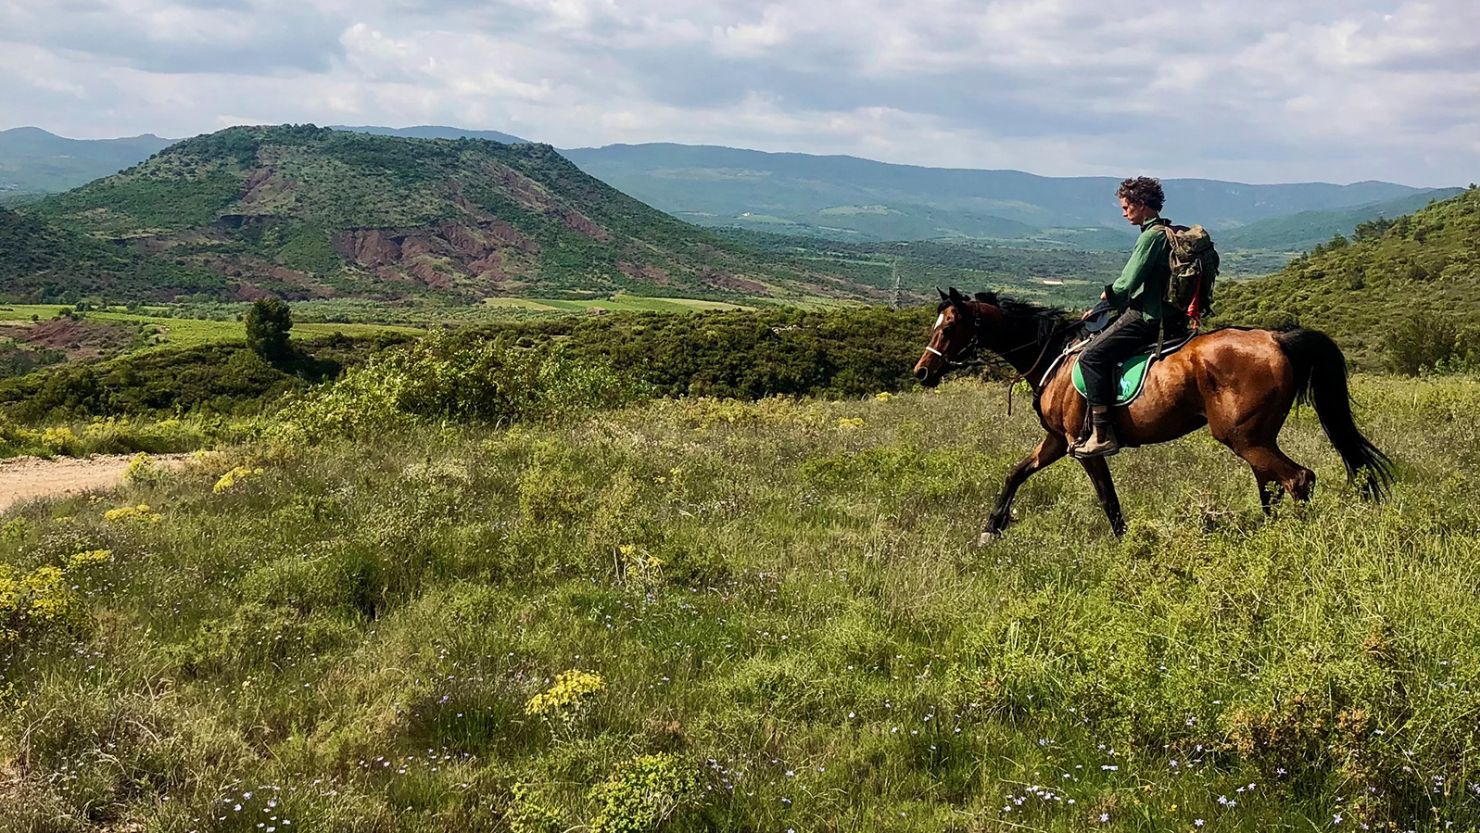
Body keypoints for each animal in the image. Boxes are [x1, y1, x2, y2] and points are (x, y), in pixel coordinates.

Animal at [905, 289, 1391, 538]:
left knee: (1297, 479)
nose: (923, 372)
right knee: (1272, 484)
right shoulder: (1056, 441)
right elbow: (1015, 474)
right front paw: (992, 528)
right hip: (1256, 437)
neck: (1053, 356)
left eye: (950, 326)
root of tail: (1275, 338)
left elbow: (1108, 499)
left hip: (1244, 437)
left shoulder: (1081, 447)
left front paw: (1126, 544)